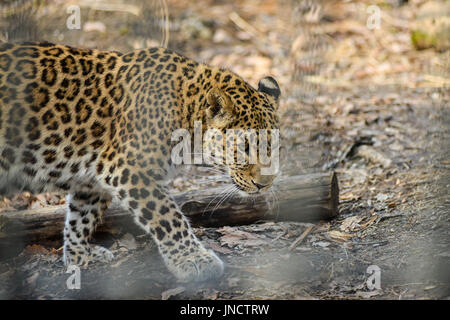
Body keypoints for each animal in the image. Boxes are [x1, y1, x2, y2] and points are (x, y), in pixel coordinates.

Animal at [0, 41, 280, 282]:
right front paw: (194, 259)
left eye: (273, 146)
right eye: (244, 147)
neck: (187, 109)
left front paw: (79, 256)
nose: (264, 185)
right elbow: (168, 216)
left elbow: (81, 216)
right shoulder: (129, 168)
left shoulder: (93, 178)